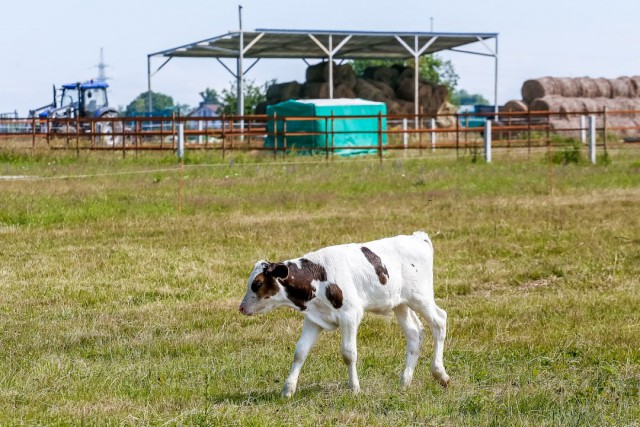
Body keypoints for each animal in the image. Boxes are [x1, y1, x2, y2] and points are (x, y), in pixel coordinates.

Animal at [236, 231, 450, 398]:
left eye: (257, 283)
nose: (242, 307)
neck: (319, 276)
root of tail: (417, 237)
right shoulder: (314, 319)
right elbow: (300, 352)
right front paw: (288, 390)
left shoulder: (350, 315)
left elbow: (348, 354)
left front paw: (354, 388)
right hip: (401, 304)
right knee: (415, 333)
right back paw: (405, 381)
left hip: (421, 297)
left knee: (439, 321)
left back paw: (440, 374)